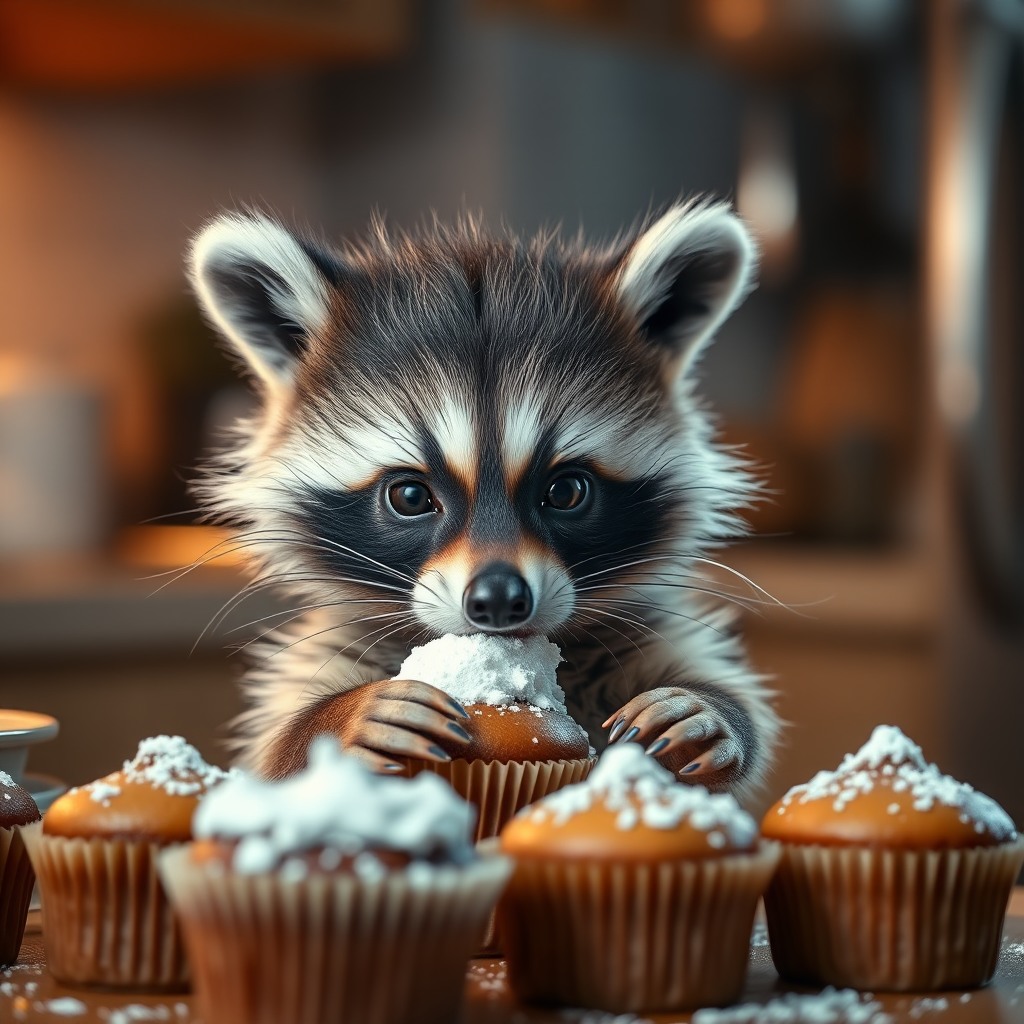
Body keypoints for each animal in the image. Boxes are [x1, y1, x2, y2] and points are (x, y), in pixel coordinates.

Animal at [188, 200, 781, 801]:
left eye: (566, 491)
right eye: (410, 495)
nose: (498, 600)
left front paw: (714, 711)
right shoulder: (329, 652)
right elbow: (273, 762)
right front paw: (338, 718)